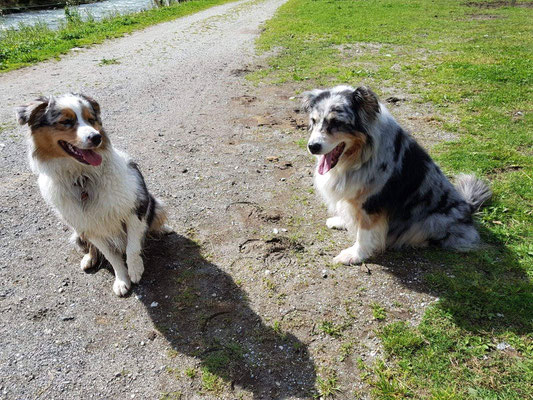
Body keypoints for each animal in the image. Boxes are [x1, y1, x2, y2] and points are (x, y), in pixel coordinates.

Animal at [16, 93, 167, 294]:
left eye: (91, 119)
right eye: (66, 121)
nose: (96, 137)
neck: (82, 178)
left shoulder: (135, 208)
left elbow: (132, 247)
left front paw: (135, 270)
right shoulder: (90, 226)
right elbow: (111, 256)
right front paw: (121, 280)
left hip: (155, 205)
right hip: (77, 232)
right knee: (91, 247)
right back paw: (89, 258)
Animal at [304, 86, 490, 264]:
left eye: (336, 122)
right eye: (313, 121)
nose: (312, 146)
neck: (360, 156)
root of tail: (468, 207)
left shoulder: (372, 202)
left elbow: (364, 232)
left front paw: (355, 255)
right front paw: (342, 221)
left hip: (434, 219)